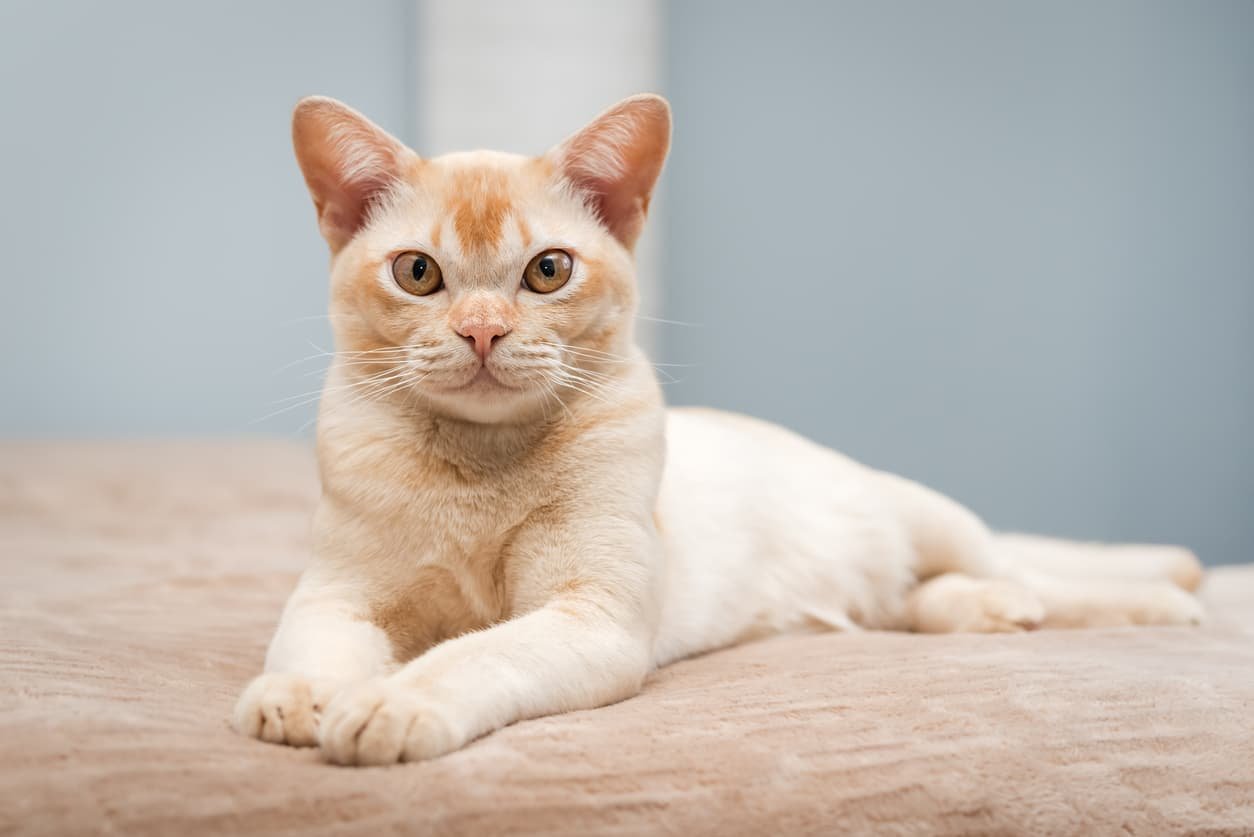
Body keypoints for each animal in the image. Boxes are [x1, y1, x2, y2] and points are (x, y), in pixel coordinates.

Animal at [235, 91, 1203, 767]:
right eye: (418, 273)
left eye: (547, 271)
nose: (480, 331)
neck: (481, 464)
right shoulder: (336, 594)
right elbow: (315, 645)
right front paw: (299, 694)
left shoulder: (590, 618)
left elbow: (471, 655)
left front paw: (392, 704)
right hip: (890, 587)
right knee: (924, 602)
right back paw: (989, 613)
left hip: (934, 517)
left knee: (1035, 570)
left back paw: (1162, 602)